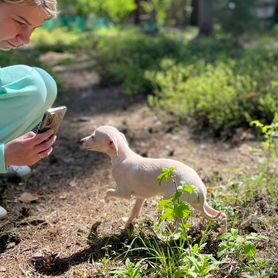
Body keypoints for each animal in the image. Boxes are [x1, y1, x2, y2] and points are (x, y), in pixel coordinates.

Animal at [81, 125, 228, 231]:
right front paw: (126, 227)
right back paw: (222, 234)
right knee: (222, 215)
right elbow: (134, 212)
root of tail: (200, 190)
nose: (80, 141)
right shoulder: (140, 197)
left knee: (180, 224)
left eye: (93, 136)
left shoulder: (124, 193)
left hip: (173, 202)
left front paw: (106, 200)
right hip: (197, 205)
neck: (123, 157)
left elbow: (109, 191)